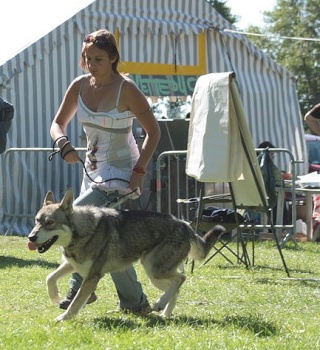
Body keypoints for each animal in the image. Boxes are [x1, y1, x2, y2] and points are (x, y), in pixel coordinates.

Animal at [27, 189, 224, 322]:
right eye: (37, 221)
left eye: (50, 223)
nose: (31, 237)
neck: (83, 231)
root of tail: (185, 224)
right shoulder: (73, 265)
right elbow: (50, 278)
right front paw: (55, 297)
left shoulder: (92, 276)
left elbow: (76, 302)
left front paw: (64, 318)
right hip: (155, 276)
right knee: (176, 287)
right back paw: (164, 312)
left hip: (155, 271)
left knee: (181, 279)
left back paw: (160, 305)